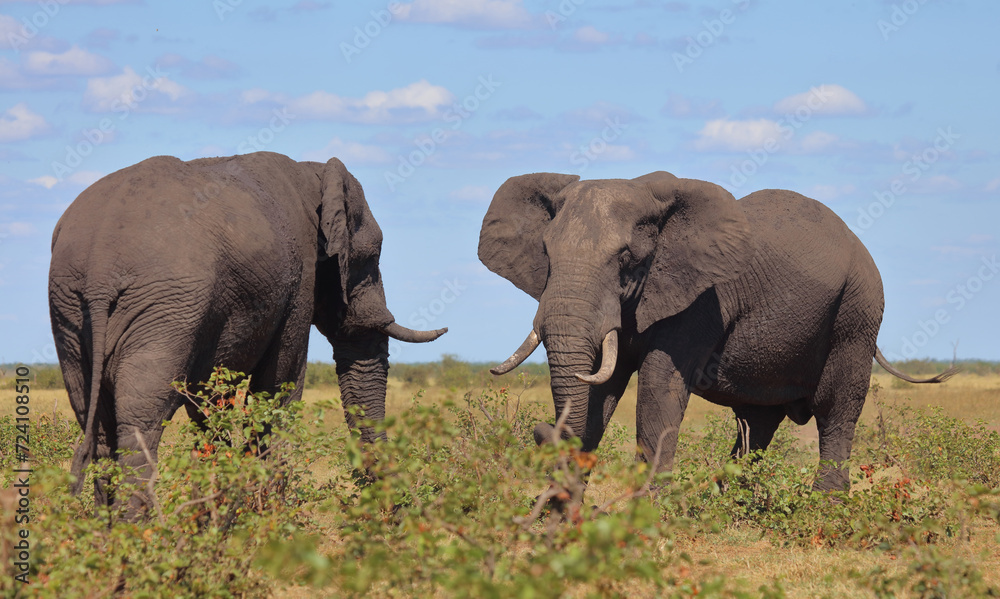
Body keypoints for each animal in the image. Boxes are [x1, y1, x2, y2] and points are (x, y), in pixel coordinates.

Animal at [48, 150, 448, 510]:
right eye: (372, 257)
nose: (397, 512)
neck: (313, 173)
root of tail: (100, 269)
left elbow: (210, 403)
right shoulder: (298, 278)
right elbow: (280, 386)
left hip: (70, 311)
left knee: (97, 424)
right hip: (162, 308)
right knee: (140, 421)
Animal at [480, 170, 956, 492]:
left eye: (625, 258)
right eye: (546, 253)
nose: (542, 432)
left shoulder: (700, 300)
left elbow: (658, 389)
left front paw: (645, 516)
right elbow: (603, 384)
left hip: (858, 311)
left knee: (835, 408)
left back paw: (825, 510)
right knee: (760, 421)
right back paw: (735, 502)